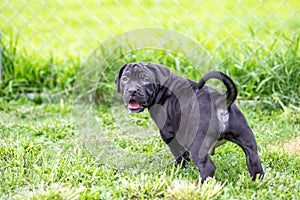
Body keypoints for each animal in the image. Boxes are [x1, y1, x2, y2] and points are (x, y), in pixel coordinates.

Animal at [113, 61, 264, 182]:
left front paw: (180, 169)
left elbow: (180, 154)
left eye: (145, 79)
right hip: (247, 140)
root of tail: (220, 101)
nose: (132, 90)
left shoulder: (169, 134)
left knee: (207, 167)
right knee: (254, 160)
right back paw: (256, 182)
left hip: (197, 142)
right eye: (125, 78)